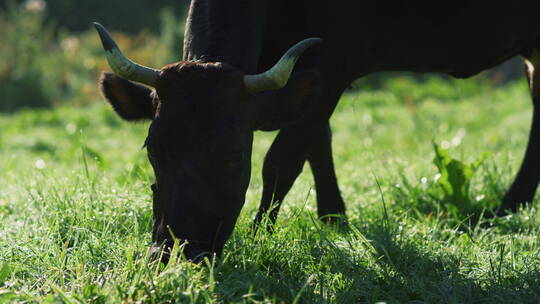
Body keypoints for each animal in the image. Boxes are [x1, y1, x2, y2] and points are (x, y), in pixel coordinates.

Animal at [96, 0, 540, 262]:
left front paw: (261, 235)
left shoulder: (334, 62)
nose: (175, 252)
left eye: (235, 156)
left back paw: (507, 207)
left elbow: (283, 159)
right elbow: (317, 141)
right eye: (152, 150)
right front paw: (334, 218)